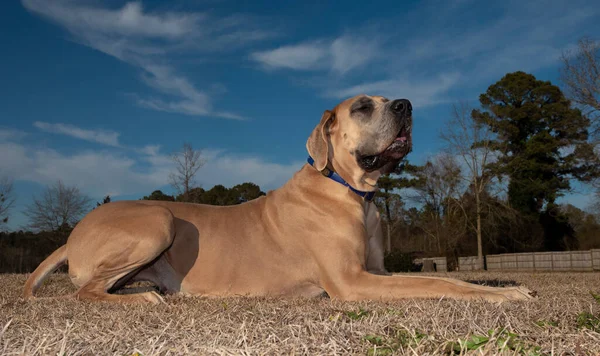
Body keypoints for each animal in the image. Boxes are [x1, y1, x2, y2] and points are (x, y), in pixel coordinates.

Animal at [22, 94, 536, 304]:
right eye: (362, 106)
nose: (407, 106)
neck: (352, 192)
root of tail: (75, 231)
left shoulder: (380, 272)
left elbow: (451, 278)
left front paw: (509, 288)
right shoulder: (353, 282)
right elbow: (439, 282)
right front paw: (502, 296)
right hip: (159, 222)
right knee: (86, 292)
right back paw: (145, 298)